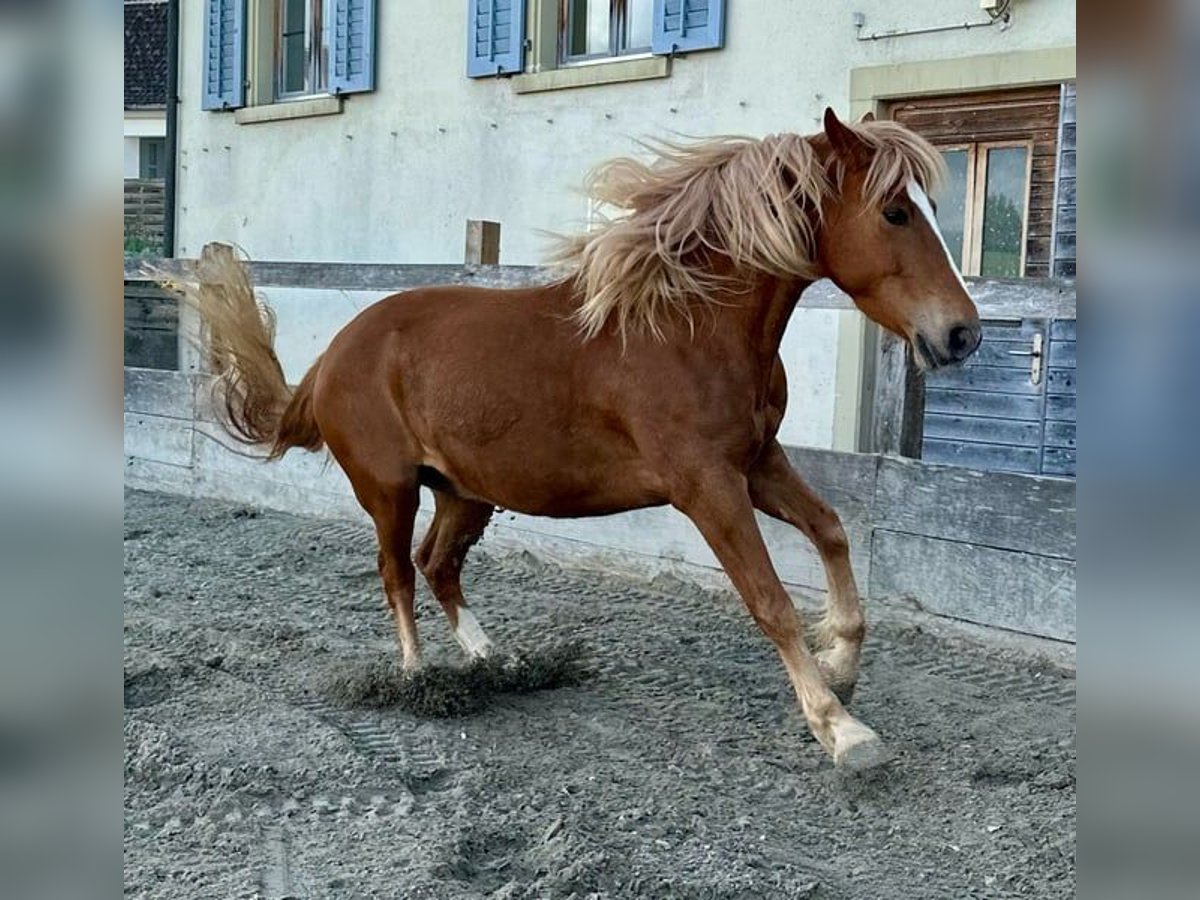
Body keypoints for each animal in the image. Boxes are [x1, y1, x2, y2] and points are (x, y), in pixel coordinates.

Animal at [169, 107, 974, 768]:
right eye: (895, 211)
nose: (962, 334)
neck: (687, 326)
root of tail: (331, 357)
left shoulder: (756, 462)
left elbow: (832, 530)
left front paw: (842, 663)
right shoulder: (705, 485)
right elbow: (769, 601)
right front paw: (842, 730)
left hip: (466, 492)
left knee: (438, 566)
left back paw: (499, 660)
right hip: (389, 490)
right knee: (397, 572)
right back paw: (418, 675)